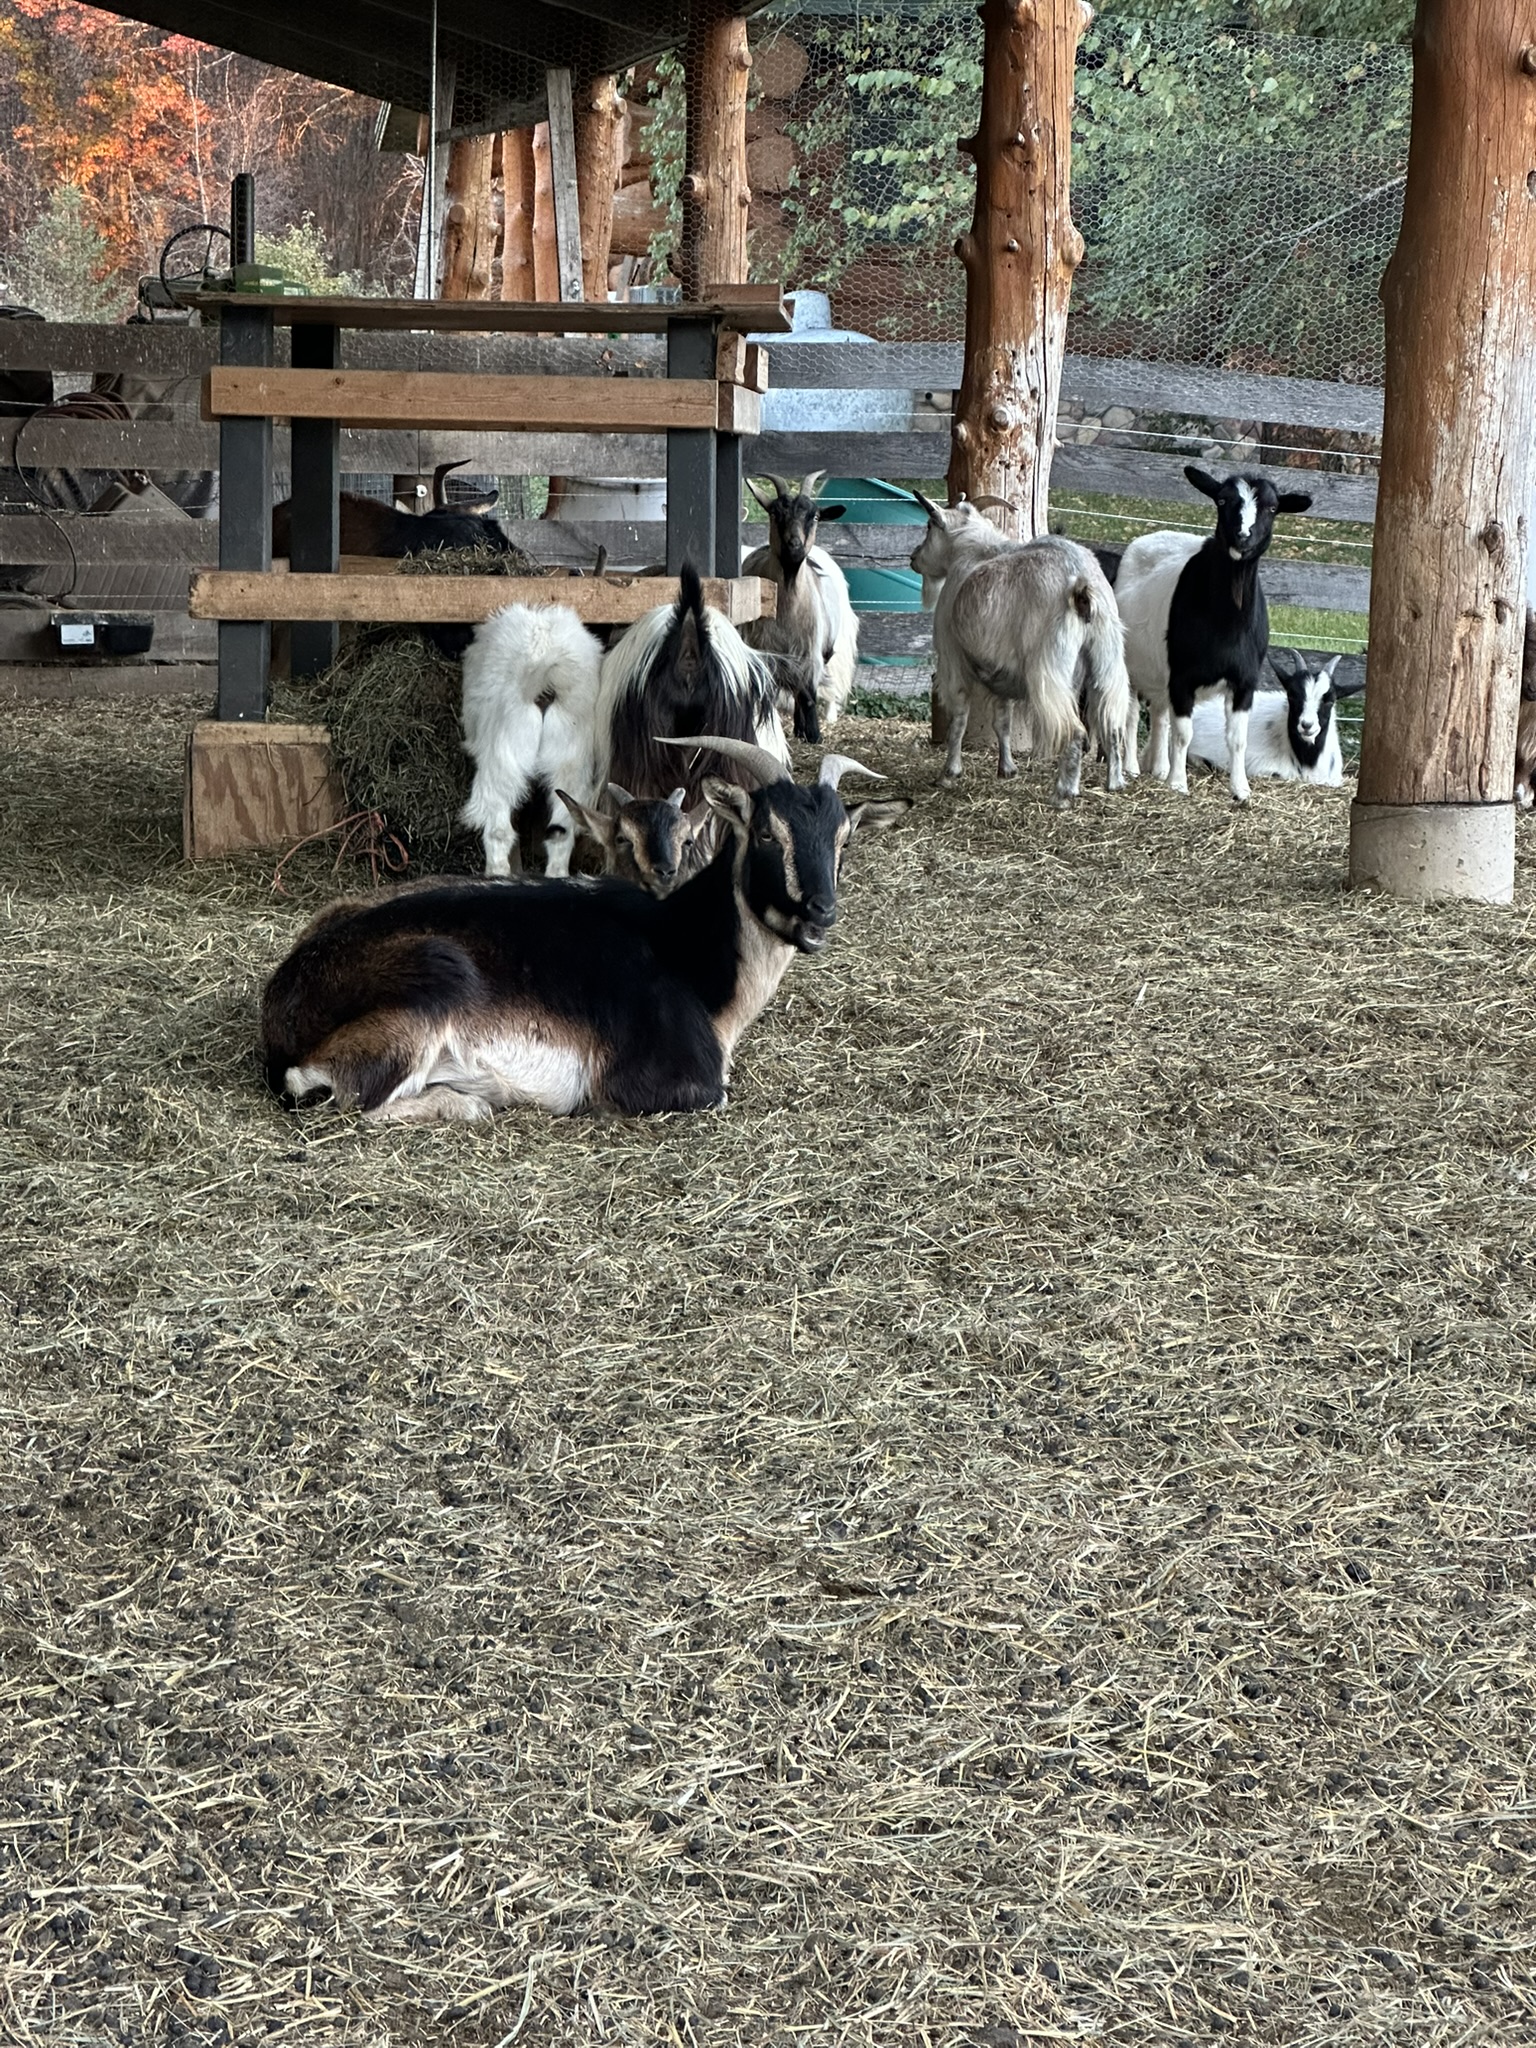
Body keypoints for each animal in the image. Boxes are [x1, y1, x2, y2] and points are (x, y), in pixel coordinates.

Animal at [459, 604, 605, 878]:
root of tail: (545, 683)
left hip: (503, 757)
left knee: (498, 829)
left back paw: (496, 874)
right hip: (571, 762)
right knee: (561, 831)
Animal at [740, 471, 861, 732]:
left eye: (814, 516)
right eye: (774, 513)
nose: (794, 545)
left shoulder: (810, 656)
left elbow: (808, 696)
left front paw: (812, 734)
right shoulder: (765, 655)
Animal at [909, 494, 1133, 800]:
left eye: (929, 526)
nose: (913, 558)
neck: (971, 551)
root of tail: (1081, 586)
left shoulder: (953, 658)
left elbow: (959, 718)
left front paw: (949, 773)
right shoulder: (1000, 670)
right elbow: (1002, 721)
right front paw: (1007, 768)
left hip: (1049, 669)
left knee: (1075, 730)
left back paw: (1064, 793)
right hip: (1105, 656)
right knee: (1111, 724)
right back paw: (1115, 782)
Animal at [1116, 466, 1313, 804]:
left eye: (1273, 508)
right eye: (1222, 500)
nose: (1243, 536)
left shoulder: (1244, 681)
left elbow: (1237, 739)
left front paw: (1241, 789)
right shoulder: (1183, 677)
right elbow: (1184, 734)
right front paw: (1178, 784)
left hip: (1159, 669)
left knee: (1159, 714)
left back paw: (1159, 768)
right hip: (1131, 662)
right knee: (1130, 713)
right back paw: (1132, 768)